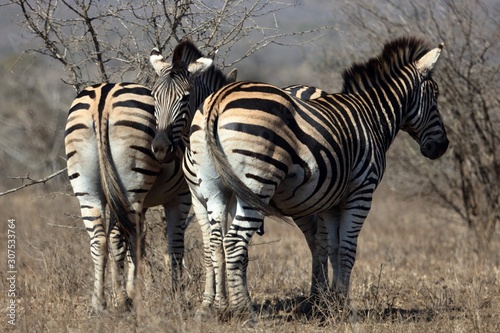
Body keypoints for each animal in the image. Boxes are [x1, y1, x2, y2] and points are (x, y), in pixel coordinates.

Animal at [64, 40, 236, 312]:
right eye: (154, 98)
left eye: (186, 97)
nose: (162, 148)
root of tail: (103, 98)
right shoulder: (181, 196)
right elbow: (175, 245)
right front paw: (178, 296)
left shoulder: (143, 202)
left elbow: (140, 241)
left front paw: (132, 288)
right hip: (131, 186)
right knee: (120, 236)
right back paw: (124, 300)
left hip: (89, 188)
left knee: (101, 239)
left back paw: (101, 303)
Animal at [184, 36, 450, 314]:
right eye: (435, 96)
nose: (442, 147)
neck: (371, 117)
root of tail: (218, 99)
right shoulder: (361, 191)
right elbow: (348, 248)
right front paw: (343, 304)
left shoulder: (332, 199)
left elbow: (332, 246)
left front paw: (332, 302)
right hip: (257, 184)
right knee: (235, 242)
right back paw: (243, 309)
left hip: (213, 188)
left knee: (217, 241)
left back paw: (223, 306)